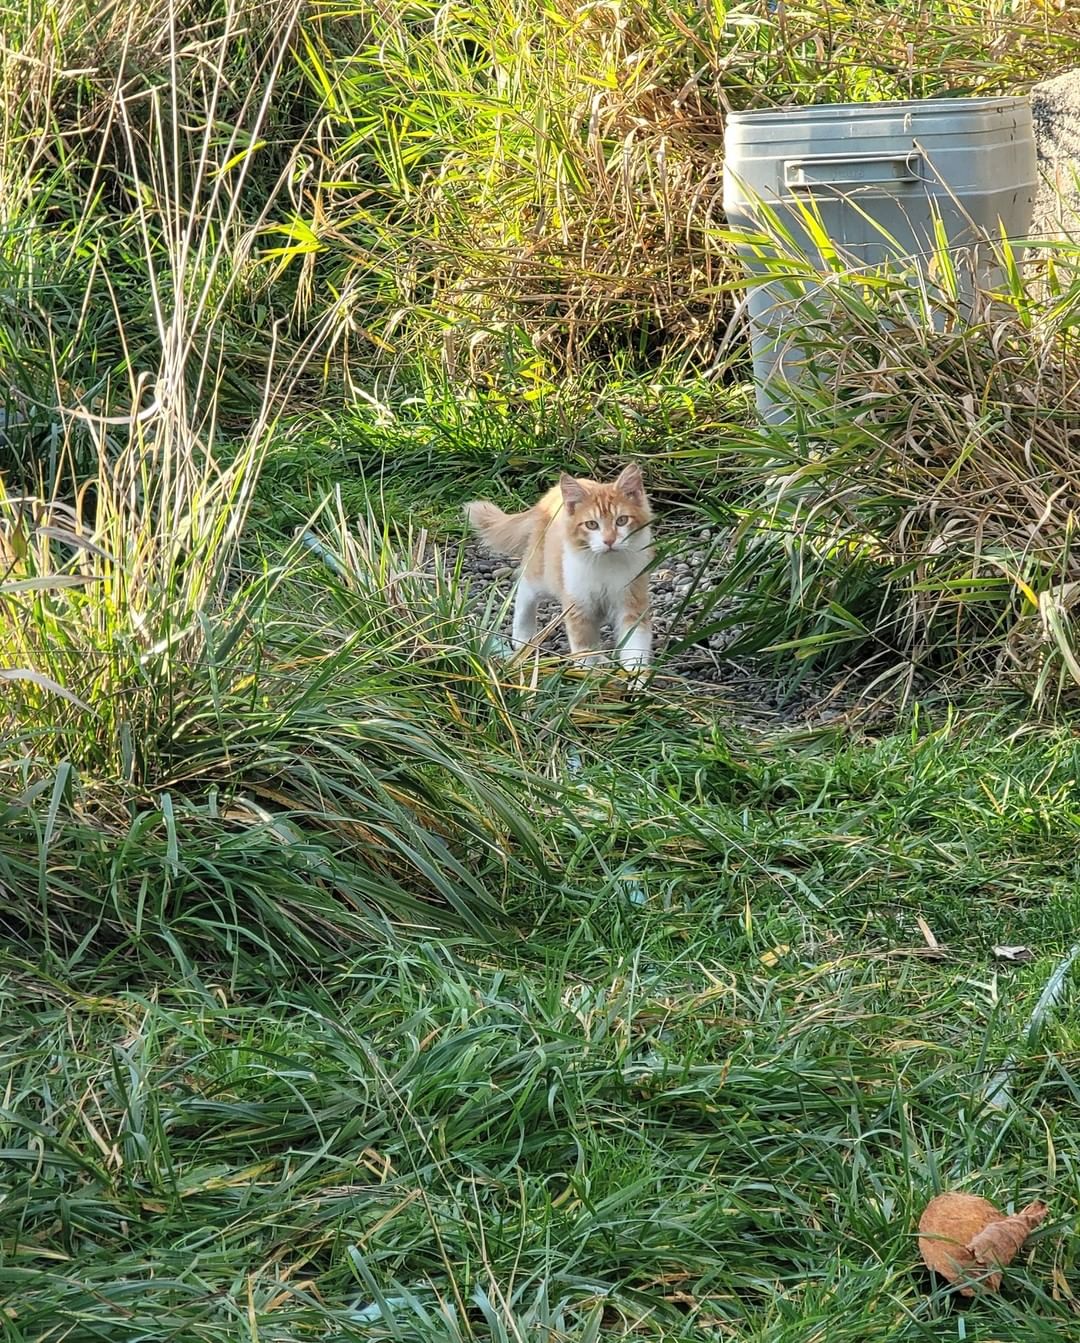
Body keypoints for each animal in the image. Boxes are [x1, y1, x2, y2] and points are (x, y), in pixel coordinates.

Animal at [462, 464, 650, 668]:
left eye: (621, 520)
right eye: (592, 525)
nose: (609, 541)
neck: (606, 564)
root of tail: (549, 495)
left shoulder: (632, 598)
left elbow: (635, 645)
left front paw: (635, 674)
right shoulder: (577, 603)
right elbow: (583, 647)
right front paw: (587, 672)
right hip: (545, 573)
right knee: (525, 587)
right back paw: (523, 637)